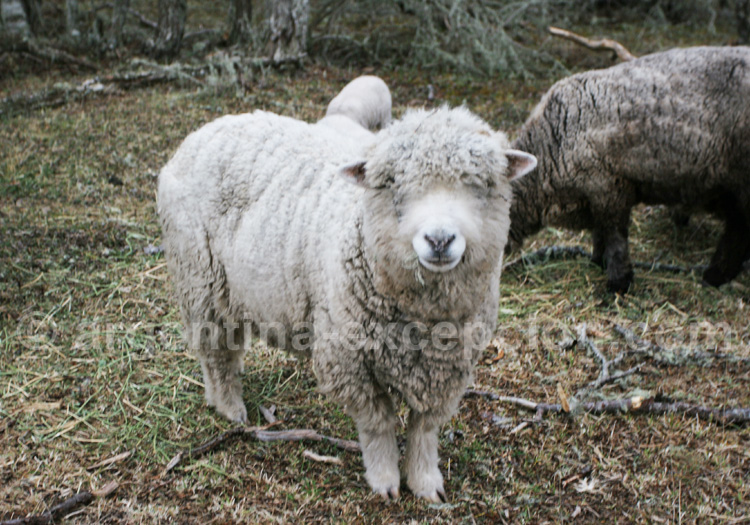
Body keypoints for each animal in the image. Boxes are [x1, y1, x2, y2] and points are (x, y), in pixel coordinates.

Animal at [158, 106, 536, 501]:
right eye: (392, 186)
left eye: (482, 186)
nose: (439, 239)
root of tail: (208, 129)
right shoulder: (347, 359)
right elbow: (378, 422)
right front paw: (385, 481)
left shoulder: (448, 368)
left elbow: (424, 427)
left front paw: (425, 483)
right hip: (201, 280)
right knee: (216, 353)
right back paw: (230, 408)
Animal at [509, 46, 750, 293]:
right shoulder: (597, 193)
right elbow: (600, 233)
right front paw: (598, 261)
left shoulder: (609, 187)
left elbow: (615, 237)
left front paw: (618, 283)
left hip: (740, 176)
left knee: (739, 230)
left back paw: (714, 275)